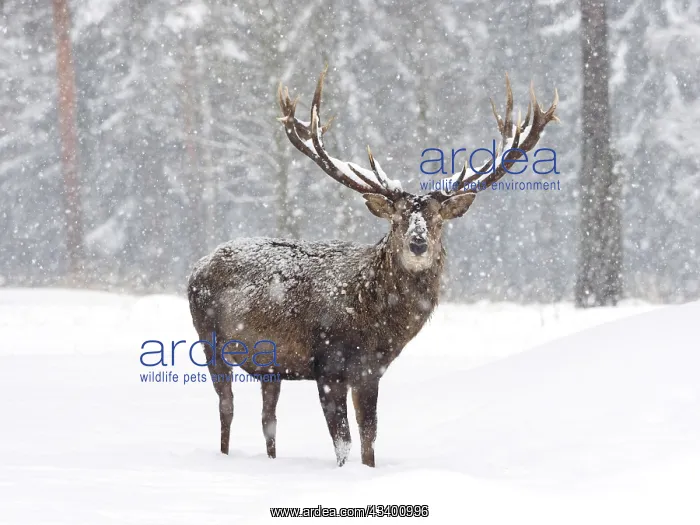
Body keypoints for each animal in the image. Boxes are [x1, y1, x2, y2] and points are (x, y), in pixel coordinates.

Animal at [187, 67, 558, 467]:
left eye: (438, 220)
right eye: (396, 220)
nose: (418, 243)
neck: (374, 323)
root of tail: (197, 267)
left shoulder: (371, 371)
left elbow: (369, 437)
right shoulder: (328, 364)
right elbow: (343, 441)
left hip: (271, 367)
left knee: (267, 417)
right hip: (208, 337)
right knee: (226, 404)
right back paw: (224, 455)